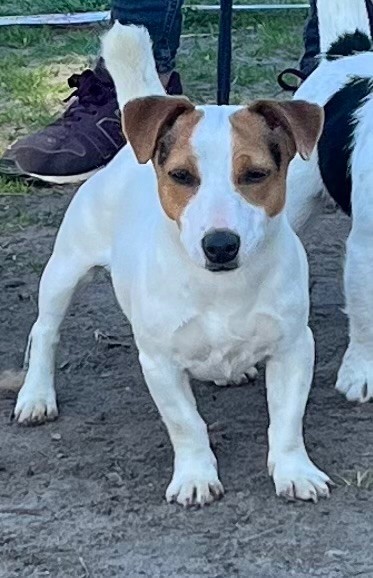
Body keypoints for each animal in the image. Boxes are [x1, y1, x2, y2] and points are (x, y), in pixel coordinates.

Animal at [12, 23, 332, 504]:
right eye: (181, 176)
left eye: (255, 175)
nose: (220, 245)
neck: (222, 288)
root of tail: (129, 150)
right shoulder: (159, 362)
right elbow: (186, 424)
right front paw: (196, 476)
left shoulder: (294, 348)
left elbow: (287, 420)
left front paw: (294, 470)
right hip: (65, 271)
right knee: (44, 331)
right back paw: (35, 395)